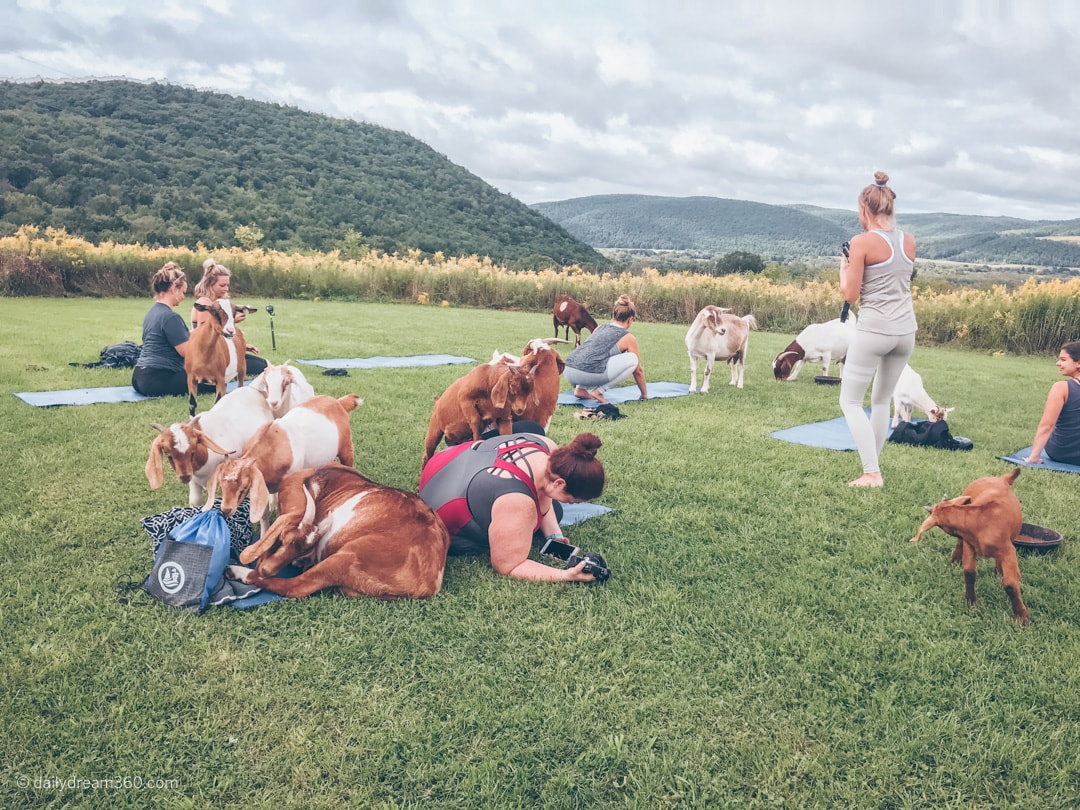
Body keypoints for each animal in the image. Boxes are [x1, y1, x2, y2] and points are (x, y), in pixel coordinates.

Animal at [144, 382, 274, 507]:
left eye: (193, 449)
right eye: (167, 453)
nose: (184, 477)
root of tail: (254, 389)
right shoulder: (194, 480)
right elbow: (195, 502)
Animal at [204, 395, 365, 533]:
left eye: (243, 488)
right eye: (221, 486)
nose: (225, 510)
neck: (273, 444)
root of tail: (338, 402)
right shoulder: (263, 483)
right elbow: (264, 513)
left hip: (347, 448)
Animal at [225, 462, 449, 604]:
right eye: (282, 539)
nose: (267, 570)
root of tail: (427, 584)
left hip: (348, 557)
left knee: (296, 586)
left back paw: (238, 572)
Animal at [911, 466, 1028, 626]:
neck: (980, 521)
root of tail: (1001, 479)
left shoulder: (1008, 551)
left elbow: (1010, 585)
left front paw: (1021, 616)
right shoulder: (969, 545)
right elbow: (969, 573)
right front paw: (971, 603)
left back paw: (998, 571)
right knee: (959, 544)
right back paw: (954, 562)